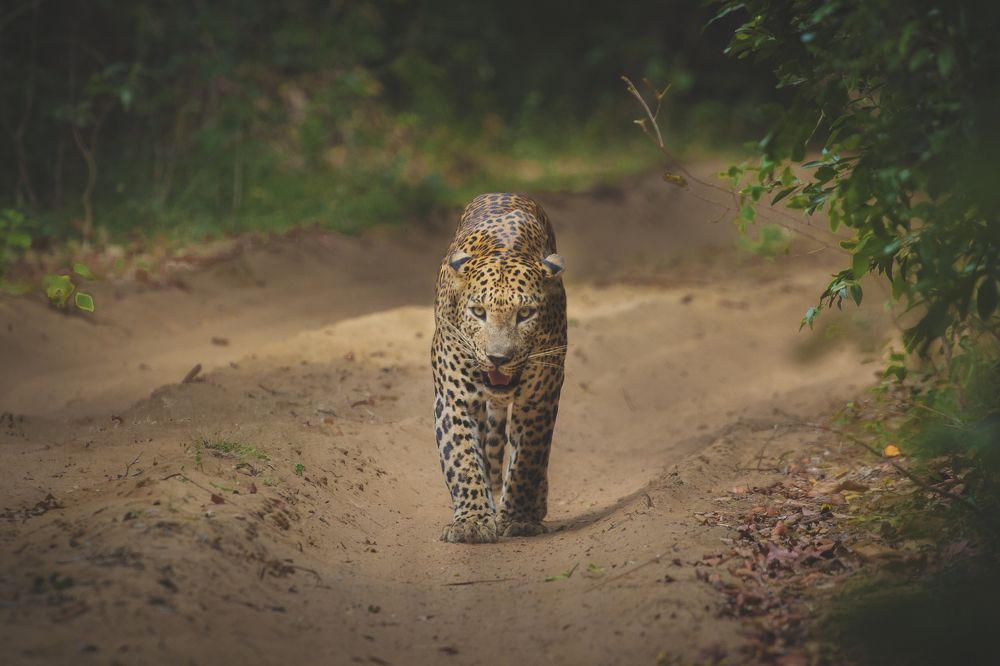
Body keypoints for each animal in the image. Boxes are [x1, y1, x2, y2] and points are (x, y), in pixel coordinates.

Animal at [431, 193, 567, 544]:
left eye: (525, 314)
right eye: (478, 312)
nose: (498, 358)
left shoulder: (539, 398)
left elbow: (528, 459)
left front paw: (519, 518)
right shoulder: (454, 397)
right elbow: (463, 456)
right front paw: (472, 522)